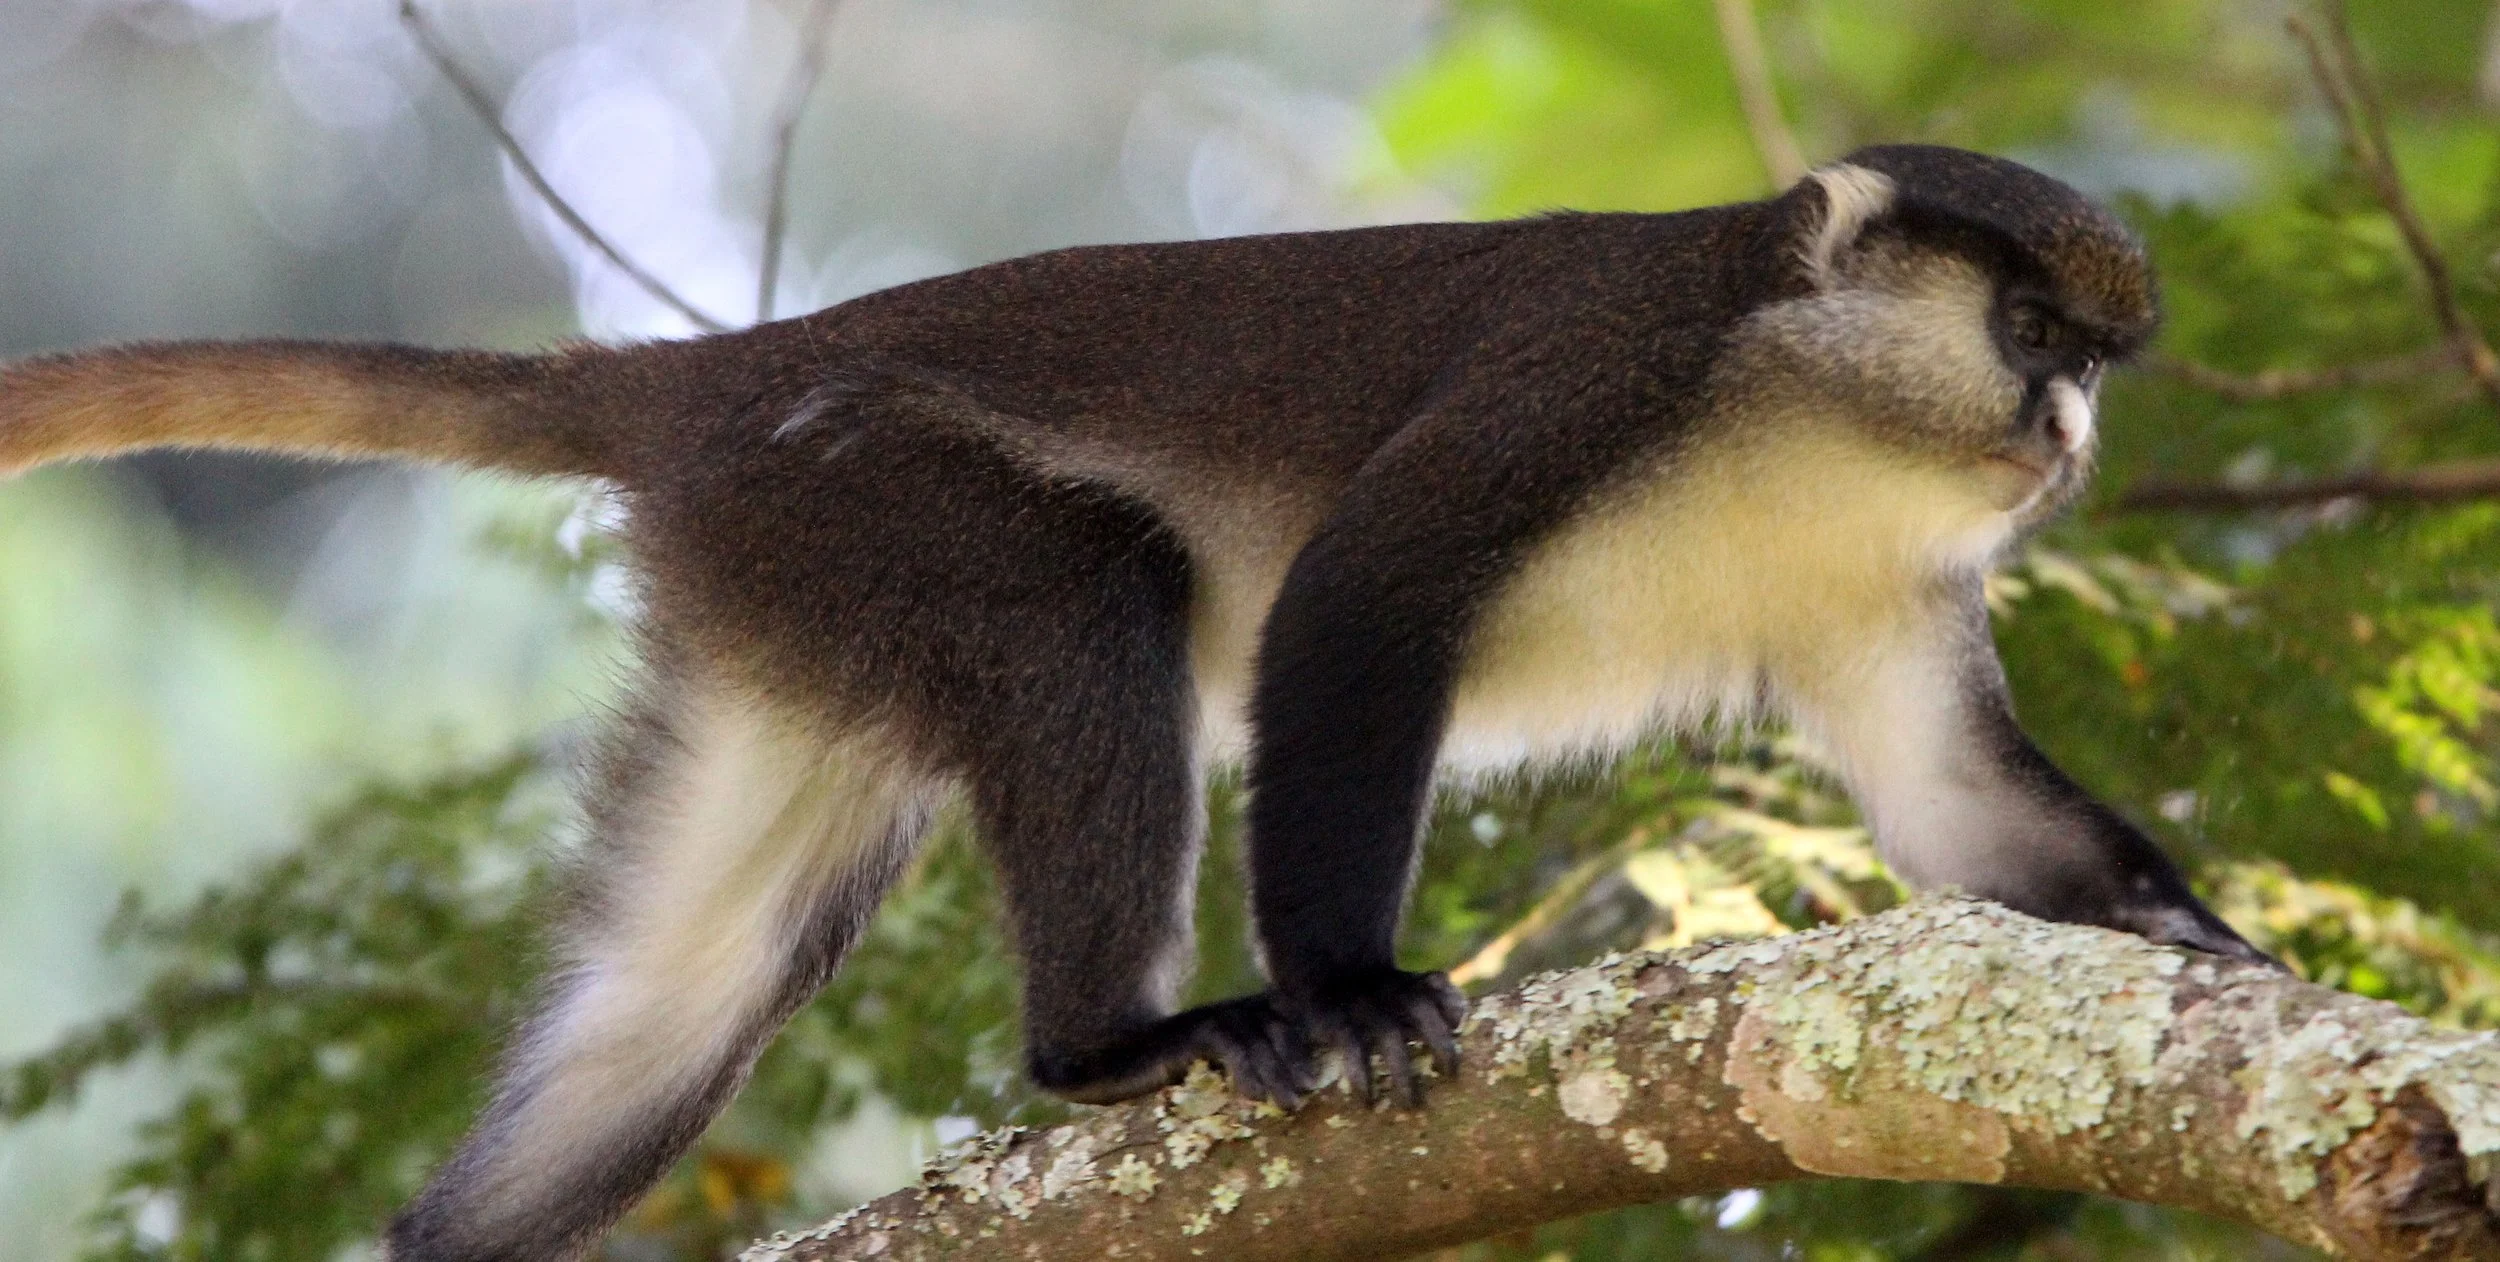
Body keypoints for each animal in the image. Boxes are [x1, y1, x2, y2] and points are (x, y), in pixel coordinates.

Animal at [0, 144, 2270, 1261]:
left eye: (2094, 361)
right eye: (2028, 330)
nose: (2064, 434)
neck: (1806, 404)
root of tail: (724, 379)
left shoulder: (1891, 585)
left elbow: (1959, 812)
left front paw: (2197, 937)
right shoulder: (1585, 375)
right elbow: (1354, 604)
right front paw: (1350, 992)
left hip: (791, 596)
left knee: (673, 999)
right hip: (887, 496)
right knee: (1104, 606)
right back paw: (1115, 1047)